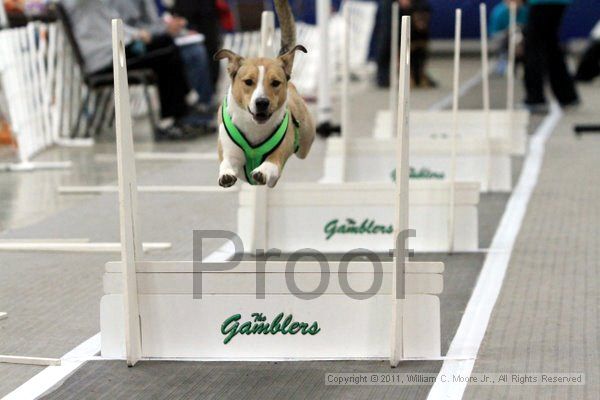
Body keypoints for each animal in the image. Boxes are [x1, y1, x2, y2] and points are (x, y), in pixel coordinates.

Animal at [214, 0, 314, 188]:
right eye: (248, 82)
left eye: (275, 83)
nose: (262, 102)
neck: (255, 126)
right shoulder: (229, 150)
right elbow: (227, 162)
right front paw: (226, 174)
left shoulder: (281, 150)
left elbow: (272, 162)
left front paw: (263, 172)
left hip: (305, 142)